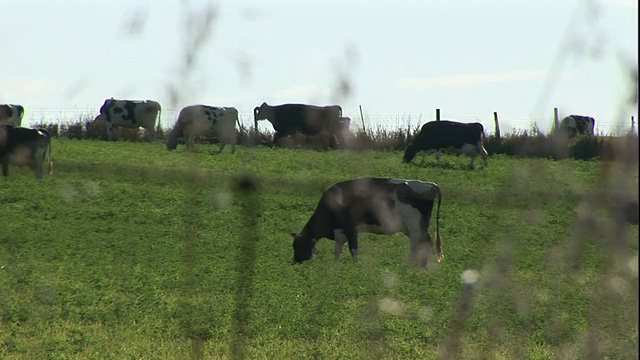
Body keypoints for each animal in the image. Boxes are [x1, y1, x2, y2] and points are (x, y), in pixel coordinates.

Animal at [292, 177, 442, 268]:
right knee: (427, 243)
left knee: (416, 245)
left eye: (298, 246)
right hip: (417, 227)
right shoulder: (340, 231)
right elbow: (337, 250)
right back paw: (422, 267)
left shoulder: (351, 228)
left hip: (414, 225)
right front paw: (334, 266)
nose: (295, 262)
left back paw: (409, 265)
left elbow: (353, 249)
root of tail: (429, 185)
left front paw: (356, 267)